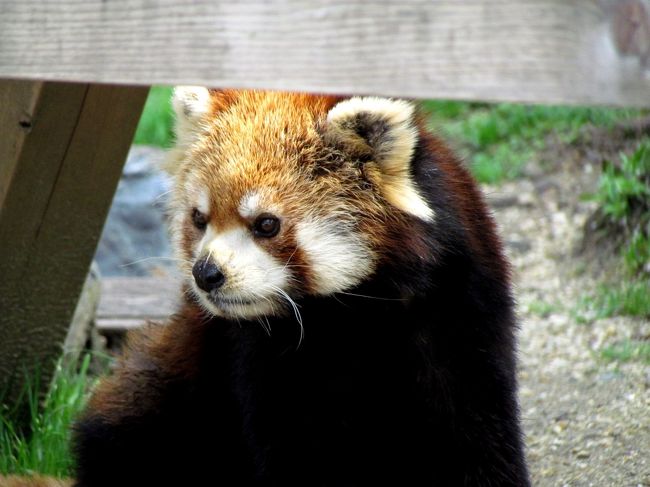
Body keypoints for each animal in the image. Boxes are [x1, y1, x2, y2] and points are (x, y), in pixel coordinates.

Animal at [72, 89, 528, 486]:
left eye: (266, 224)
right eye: (200, 219)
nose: (207, 273)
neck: (357, 311)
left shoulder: (455, 311)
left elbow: (472, 429)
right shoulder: (261, 361)